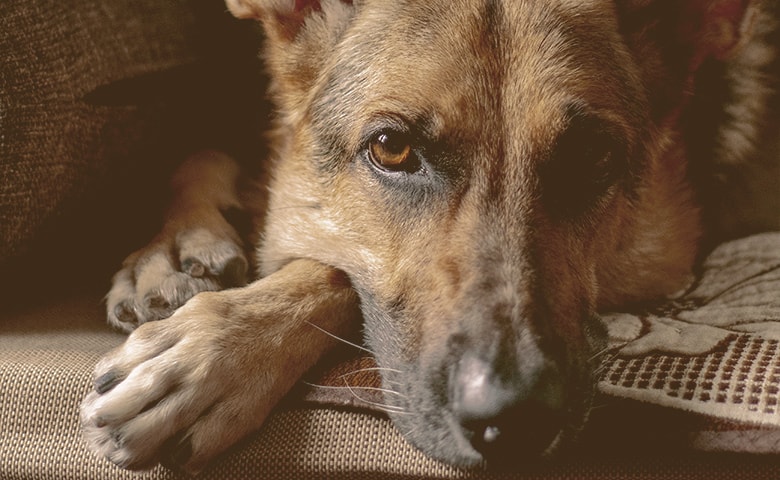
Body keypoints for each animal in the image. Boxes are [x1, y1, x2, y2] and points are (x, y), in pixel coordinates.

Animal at [82, 0, 776, 472]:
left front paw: (216, 351)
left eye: (591, 157)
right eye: (391, 147)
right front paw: (174, 249)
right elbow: (209, 154)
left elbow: (333, 270)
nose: (510, 423)